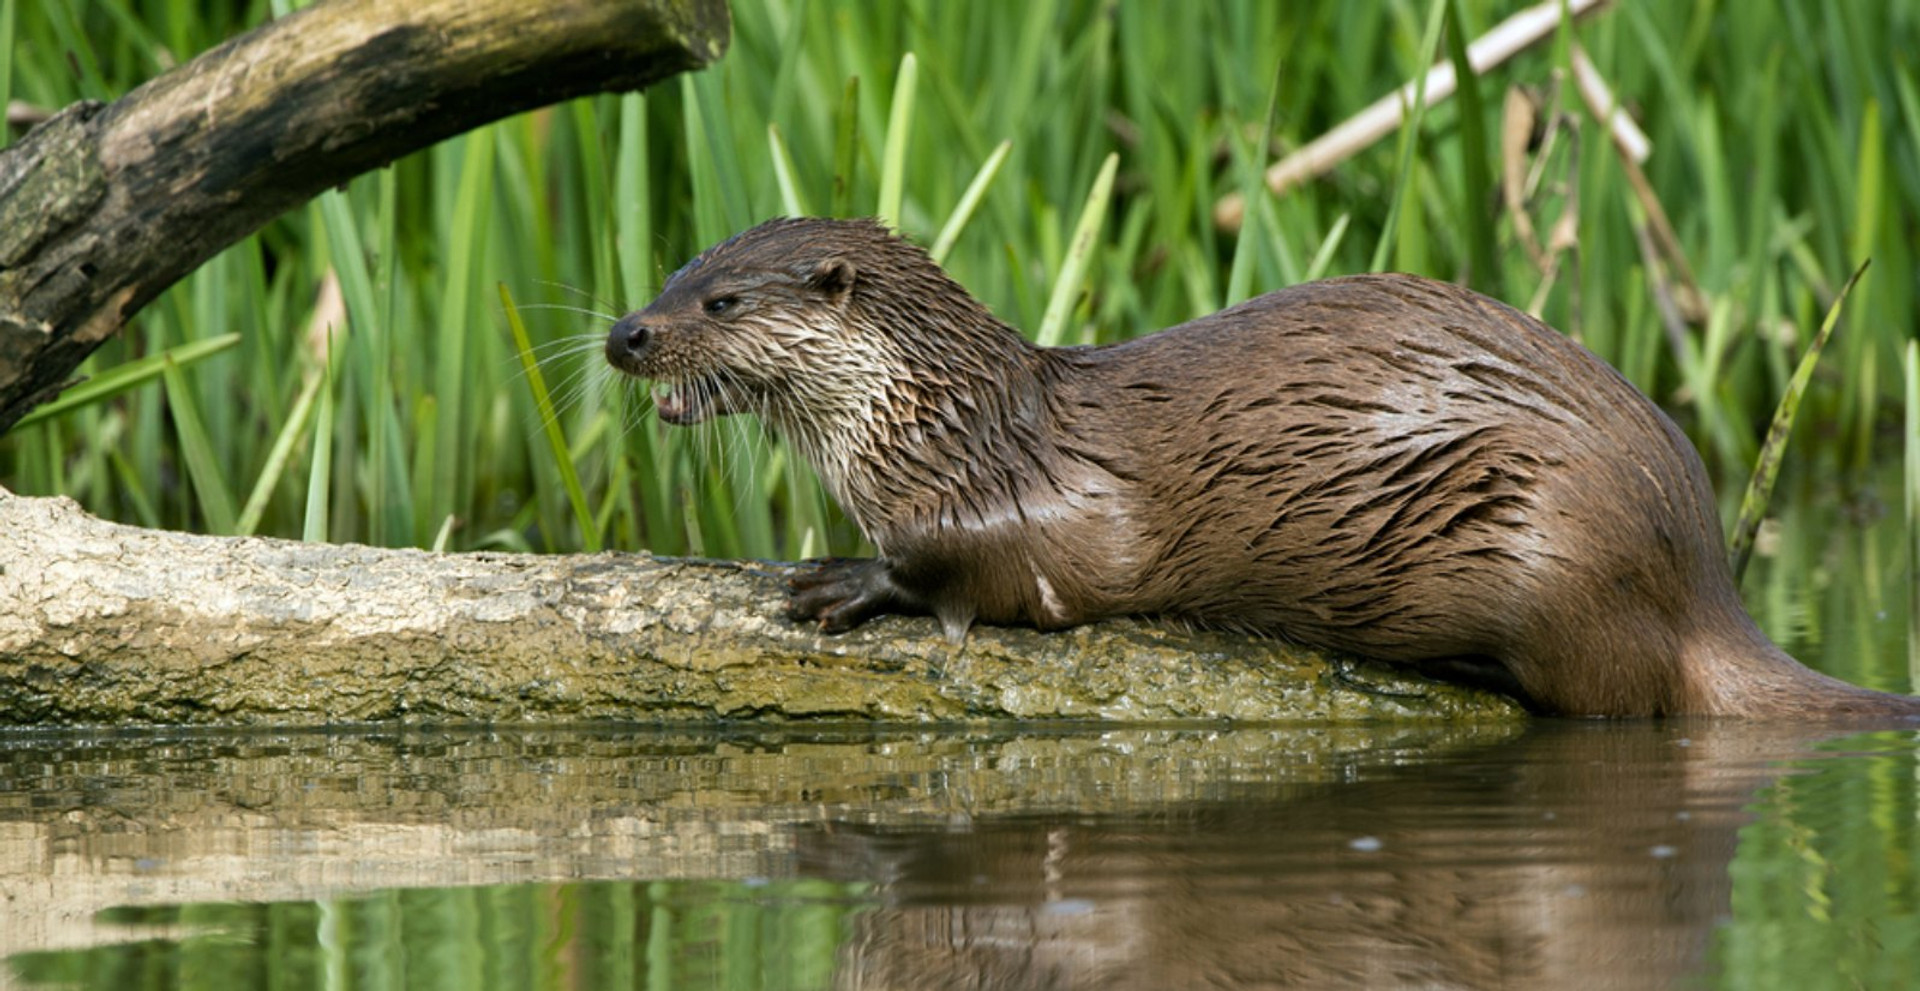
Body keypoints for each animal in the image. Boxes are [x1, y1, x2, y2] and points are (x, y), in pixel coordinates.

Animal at [602, 217, 1920, 714]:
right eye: (668, 272)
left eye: (718, 301)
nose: (624, 333)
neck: (942, 425)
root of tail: (1704, 576)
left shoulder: (1041, 510)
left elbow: (979, 574)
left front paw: (847, 578)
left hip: (1563, 541)